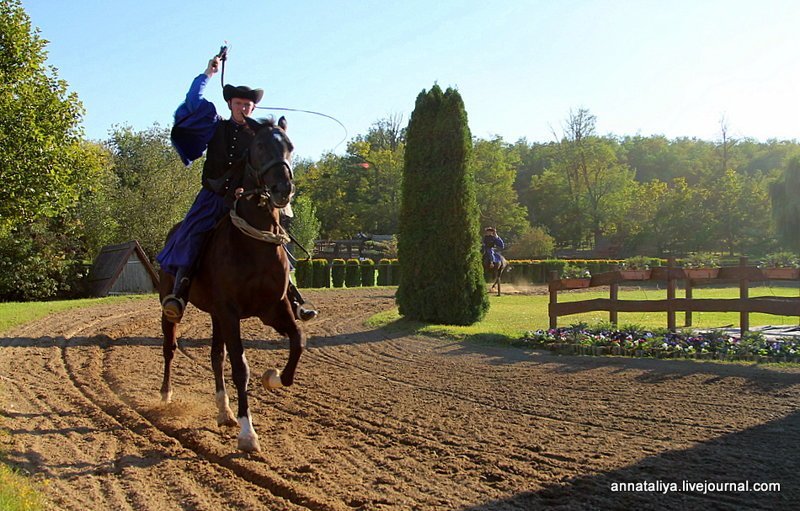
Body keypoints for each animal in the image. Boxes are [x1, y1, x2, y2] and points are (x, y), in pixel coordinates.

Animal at [159, 116, 304, 452]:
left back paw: (223, 411)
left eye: (290, 146)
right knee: (170, 347)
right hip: (173, 309)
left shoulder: (273, 308)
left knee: (215, 356)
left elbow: (297, 342)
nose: (283, 188)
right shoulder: (230, 312)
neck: (253, 244)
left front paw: (273, 377)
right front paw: (248, 433)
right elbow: (240, 368)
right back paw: (166, 395)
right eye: (260, 146)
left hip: (216, 316)